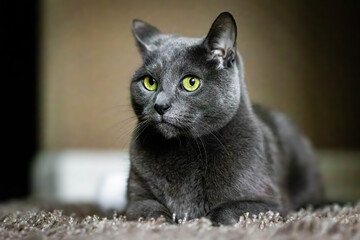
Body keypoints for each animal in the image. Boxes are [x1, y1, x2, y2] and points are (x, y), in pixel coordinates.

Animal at [124, 11, 324, 225]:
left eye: (191, 82)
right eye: (150, 82)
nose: (160, 105)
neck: (183, 147)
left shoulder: (272, 204)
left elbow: (225, 210)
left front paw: (204, 222)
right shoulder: (135, 200)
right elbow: (150, 210)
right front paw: (164, 222)